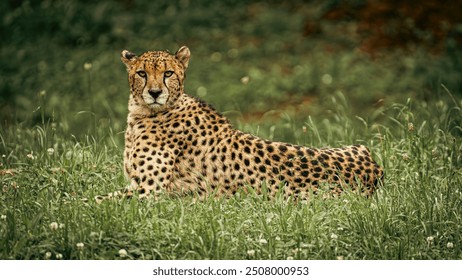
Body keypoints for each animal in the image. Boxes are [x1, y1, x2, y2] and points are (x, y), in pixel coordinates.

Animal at [114, 45, 382, 199]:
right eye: (142, 73)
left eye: (168, 73)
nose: (155, 92)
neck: (144, 112)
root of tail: (374, 171)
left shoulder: (151, 193)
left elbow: (104, 202)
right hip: (356, 145)